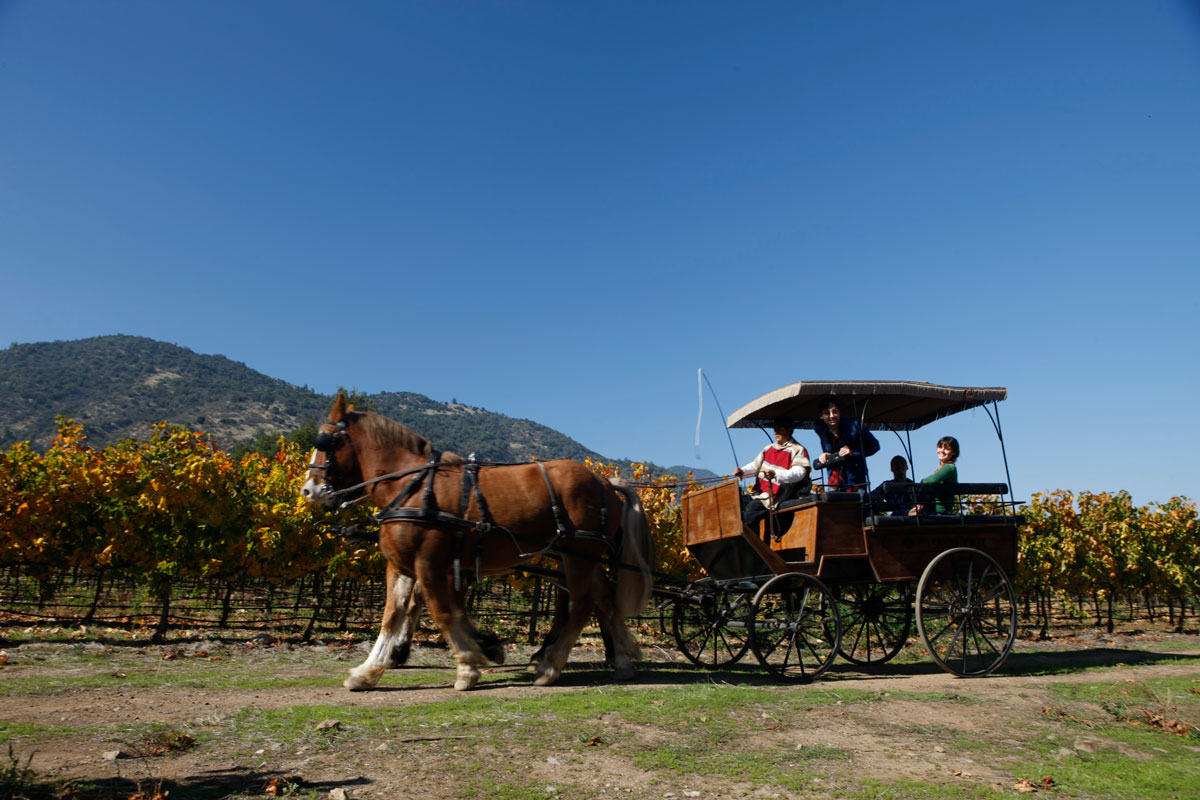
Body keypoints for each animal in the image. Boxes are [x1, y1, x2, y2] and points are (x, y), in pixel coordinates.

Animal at [302, 393, 657, 690]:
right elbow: (393, 617)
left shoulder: (430, 563)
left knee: (580, 605)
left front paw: (468, 666)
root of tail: (604, 480)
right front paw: (367, 671)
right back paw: (620, 660)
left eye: (324, 441)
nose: (309, 490)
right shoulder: (401, 566)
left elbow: (443, 611)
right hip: (581, 556)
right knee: (604, 599)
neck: (411, 487)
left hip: (578, 554)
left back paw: (551, 666)